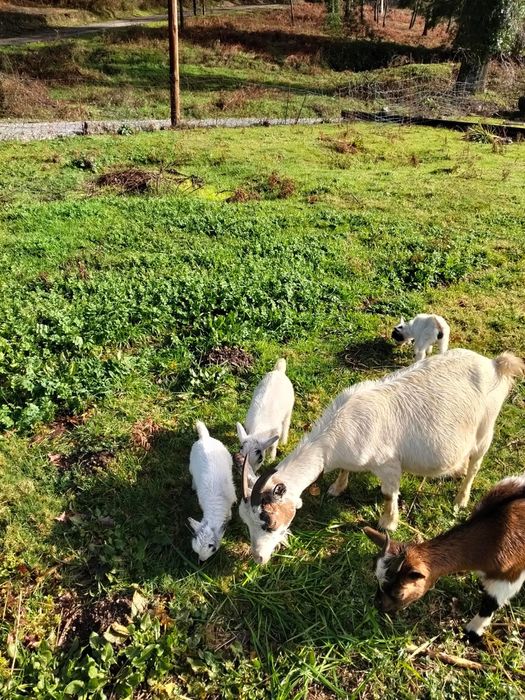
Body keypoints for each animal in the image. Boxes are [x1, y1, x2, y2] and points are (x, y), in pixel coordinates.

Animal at [239, 349, 524, 564]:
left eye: (268, 522)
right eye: (246, 521)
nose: (257, 558)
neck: (333, 439)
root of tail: (496, 365)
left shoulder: (388, 465)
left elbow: (388, 495)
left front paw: (388, 523)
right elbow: (345, 470)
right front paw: (336, 488)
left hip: (485, 431)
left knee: (476, 465)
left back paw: (460, 499)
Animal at [364, 474, 525, 640]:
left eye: (398, 592)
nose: (377, 605)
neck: (492, 534)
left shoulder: (510, 574)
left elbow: (490, 603)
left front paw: (472, 632)